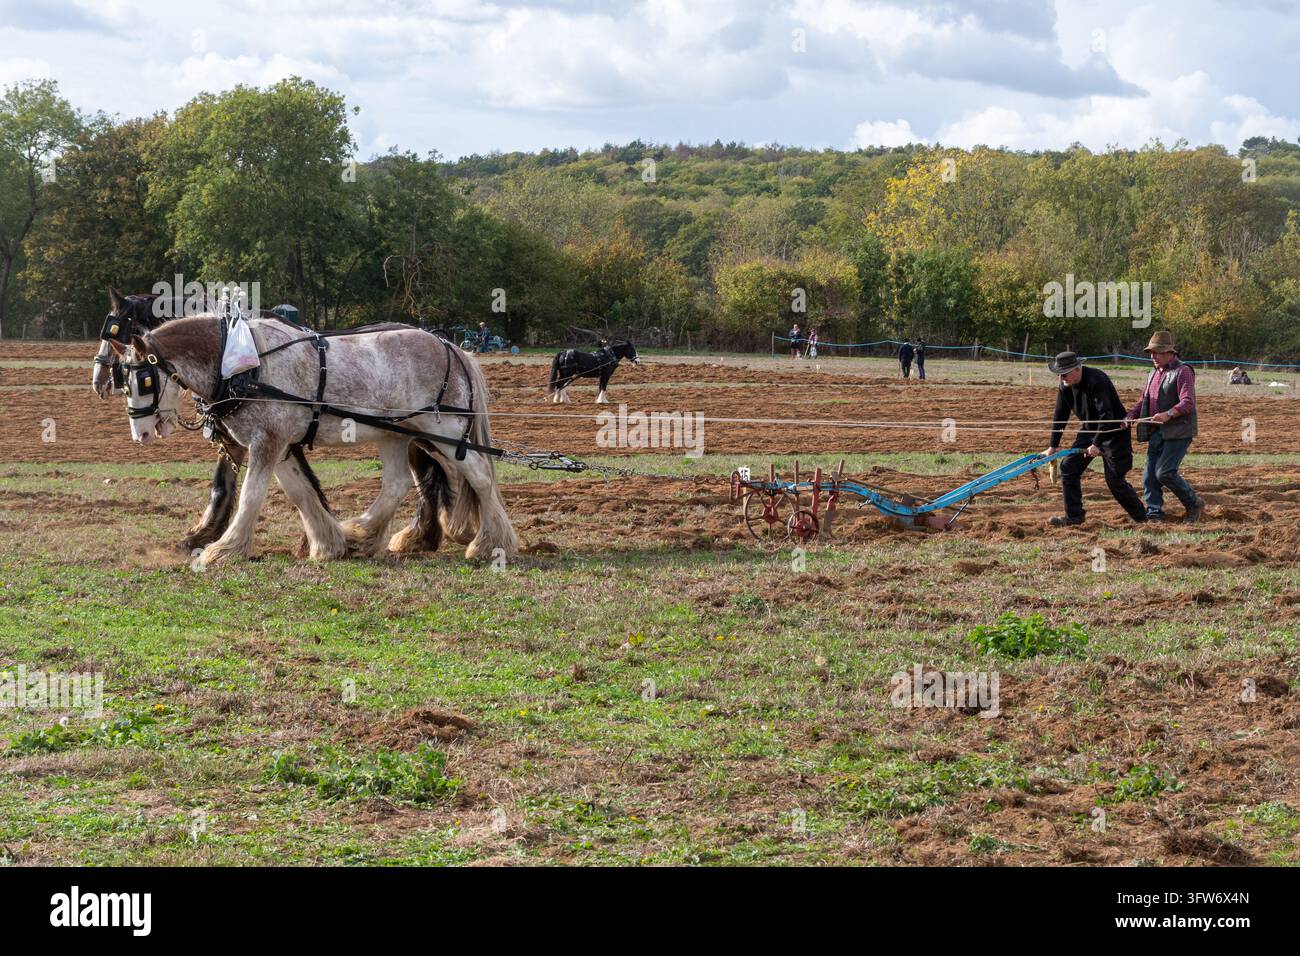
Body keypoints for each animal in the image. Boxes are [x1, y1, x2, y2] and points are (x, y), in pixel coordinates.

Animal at [111, 314, 518, 569]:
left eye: (143, 379)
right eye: (121, 380)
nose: (140, 434)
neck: (244, 364)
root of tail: (452, 346)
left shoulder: (268, 441)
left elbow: (252, 495)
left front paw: (224, 548)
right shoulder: (279, 444)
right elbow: (299, 493)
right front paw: (327, 543)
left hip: (443, 430)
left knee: (480, 475)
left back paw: (491, 543)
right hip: (395, 433)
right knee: (398, 483)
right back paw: (362, 534)